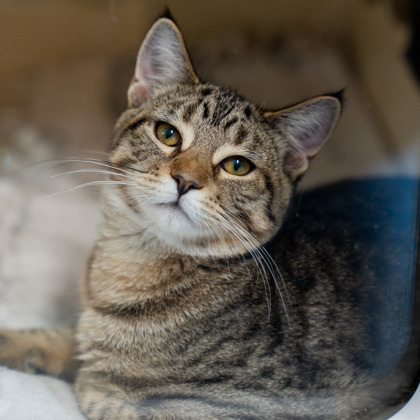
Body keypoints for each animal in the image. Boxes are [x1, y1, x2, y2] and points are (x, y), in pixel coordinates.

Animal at [0, 13, 420, 420]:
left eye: (237, 165)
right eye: (168, 134)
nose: (185, 181)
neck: (132, 267)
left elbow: (111, 395)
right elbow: (62, 340)